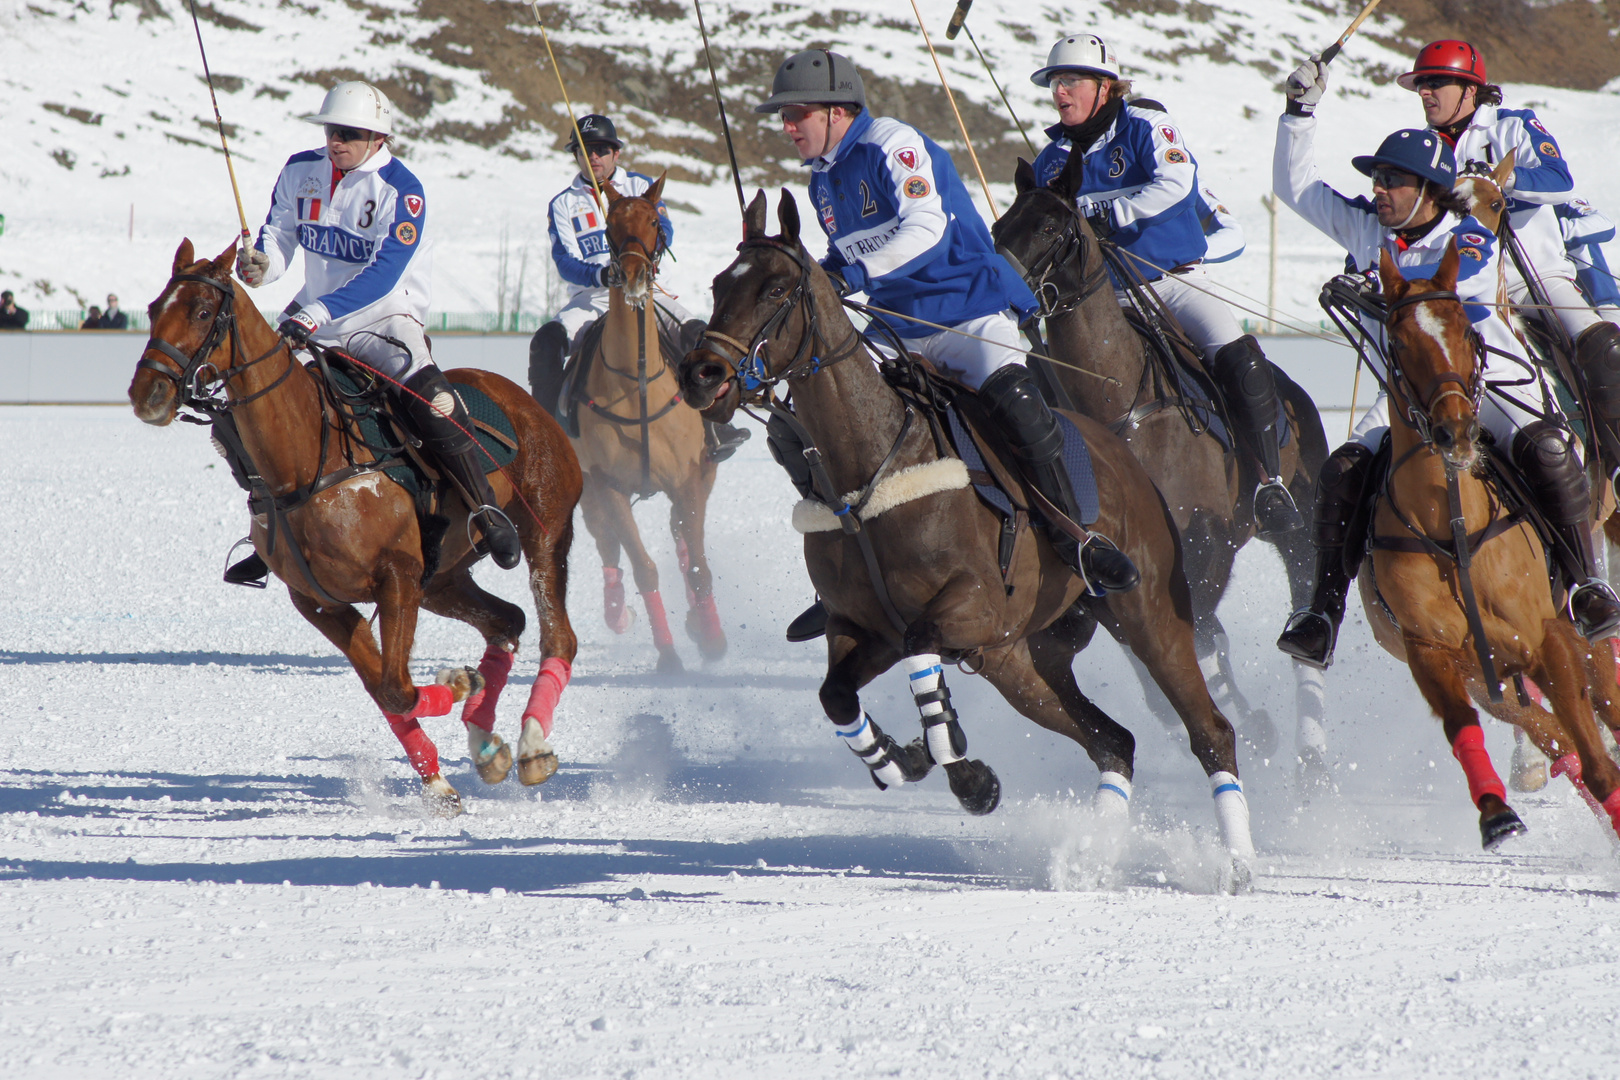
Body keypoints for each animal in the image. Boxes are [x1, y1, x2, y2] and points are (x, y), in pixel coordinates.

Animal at [127, 236, 583, 809]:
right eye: (152, 309)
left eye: (204, 312)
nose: (147, 395)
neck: (304, 464)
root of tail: (523, 398)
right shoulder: (322, 601)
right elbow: (385, 689)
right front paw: (438, 779)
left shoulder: (397, 577)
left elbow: (398, 686)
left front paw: (460, 685)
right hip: (443, 577)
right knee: (506, 621)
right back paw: (487, 745)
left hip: (544, 530)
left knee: (557, 636)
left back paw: (531, 747)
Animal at [570, 173, 722, 670]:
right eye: (609, 226)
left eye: (656, 221)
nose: (634, 277)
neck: (634, 381)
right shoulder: (610, 486)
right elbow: (644, 570)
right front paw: (669, 656)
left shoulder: (690, 478)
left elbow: (697, 567)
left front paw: (713, 640)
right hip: (589, 491)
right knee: (608, 547)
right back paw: (618, 612)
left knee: (682, 537)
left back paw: (700, 621)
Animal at [677, 194, 1257, 893]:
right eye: (717, 286)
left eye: (775, 288)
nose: (700, 374)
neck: (868, 469)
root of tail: (1125, 455)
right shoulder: (858, 625)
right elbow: (835, 694)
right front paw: (899, 760)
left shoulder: (974, 607)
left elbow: (922, 647)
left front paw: (963, 769)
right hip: (1026, 660)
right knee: (1113, 741)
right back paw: (1093, 855)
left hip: (1149, 617)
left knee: (1210, 730)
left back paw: (1237, 866)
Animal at [984, 152, 1328, 777]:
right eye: (998, 228)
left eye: (1049, 226)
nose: (998, 292)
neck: (1118, 401)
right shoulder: (1108, 568)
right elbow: (1167, 653)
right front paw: (1235, 719)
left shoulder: (1203, 547)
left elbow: (1199, 636)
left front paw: (1247, 725)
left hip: (1298, 525)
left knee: (1303, 608)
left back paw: (1311, 752)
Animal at [1360, 241, 1620, 848]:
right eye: (1398, 342)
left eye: (1465, 330)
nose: (1455, 431)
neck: (1451, 527)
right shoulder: (1436, 656)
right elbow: (1466, 727)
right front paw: (1496, 813)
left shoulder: (1550, 638)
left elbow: (1598, 762)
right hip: (1496, 676)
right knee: (1557, 738)